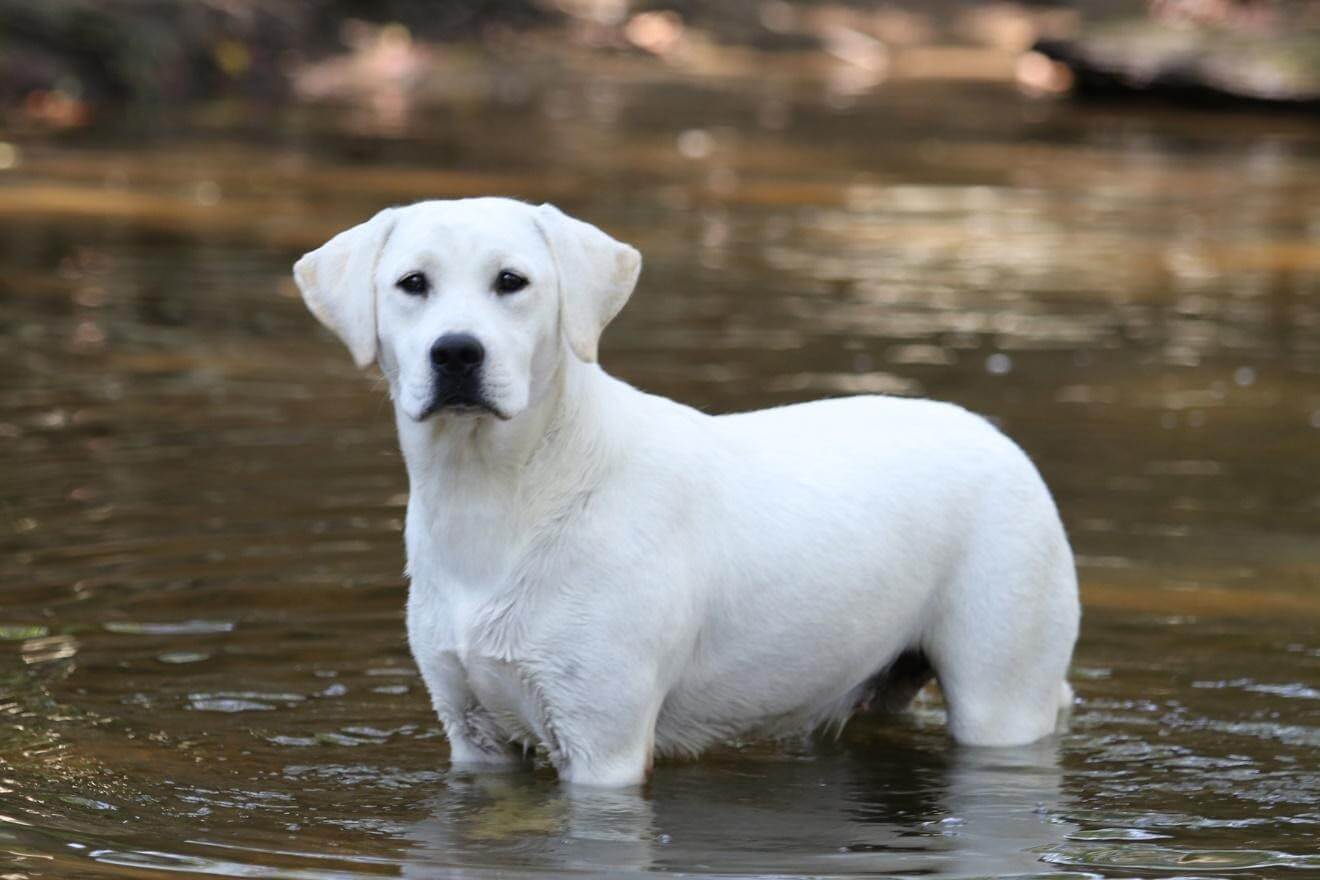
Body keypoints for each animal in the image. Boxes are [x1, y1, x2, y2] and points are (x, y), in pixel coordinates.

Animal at [294, 196, 1077, 786]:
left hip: (1002, 689)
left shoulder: (602, 740)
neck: (500, 496)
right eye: (412, 284)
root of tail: (995, 435)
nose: (457, 351)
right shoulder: (474, 734)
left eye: (511, 281)